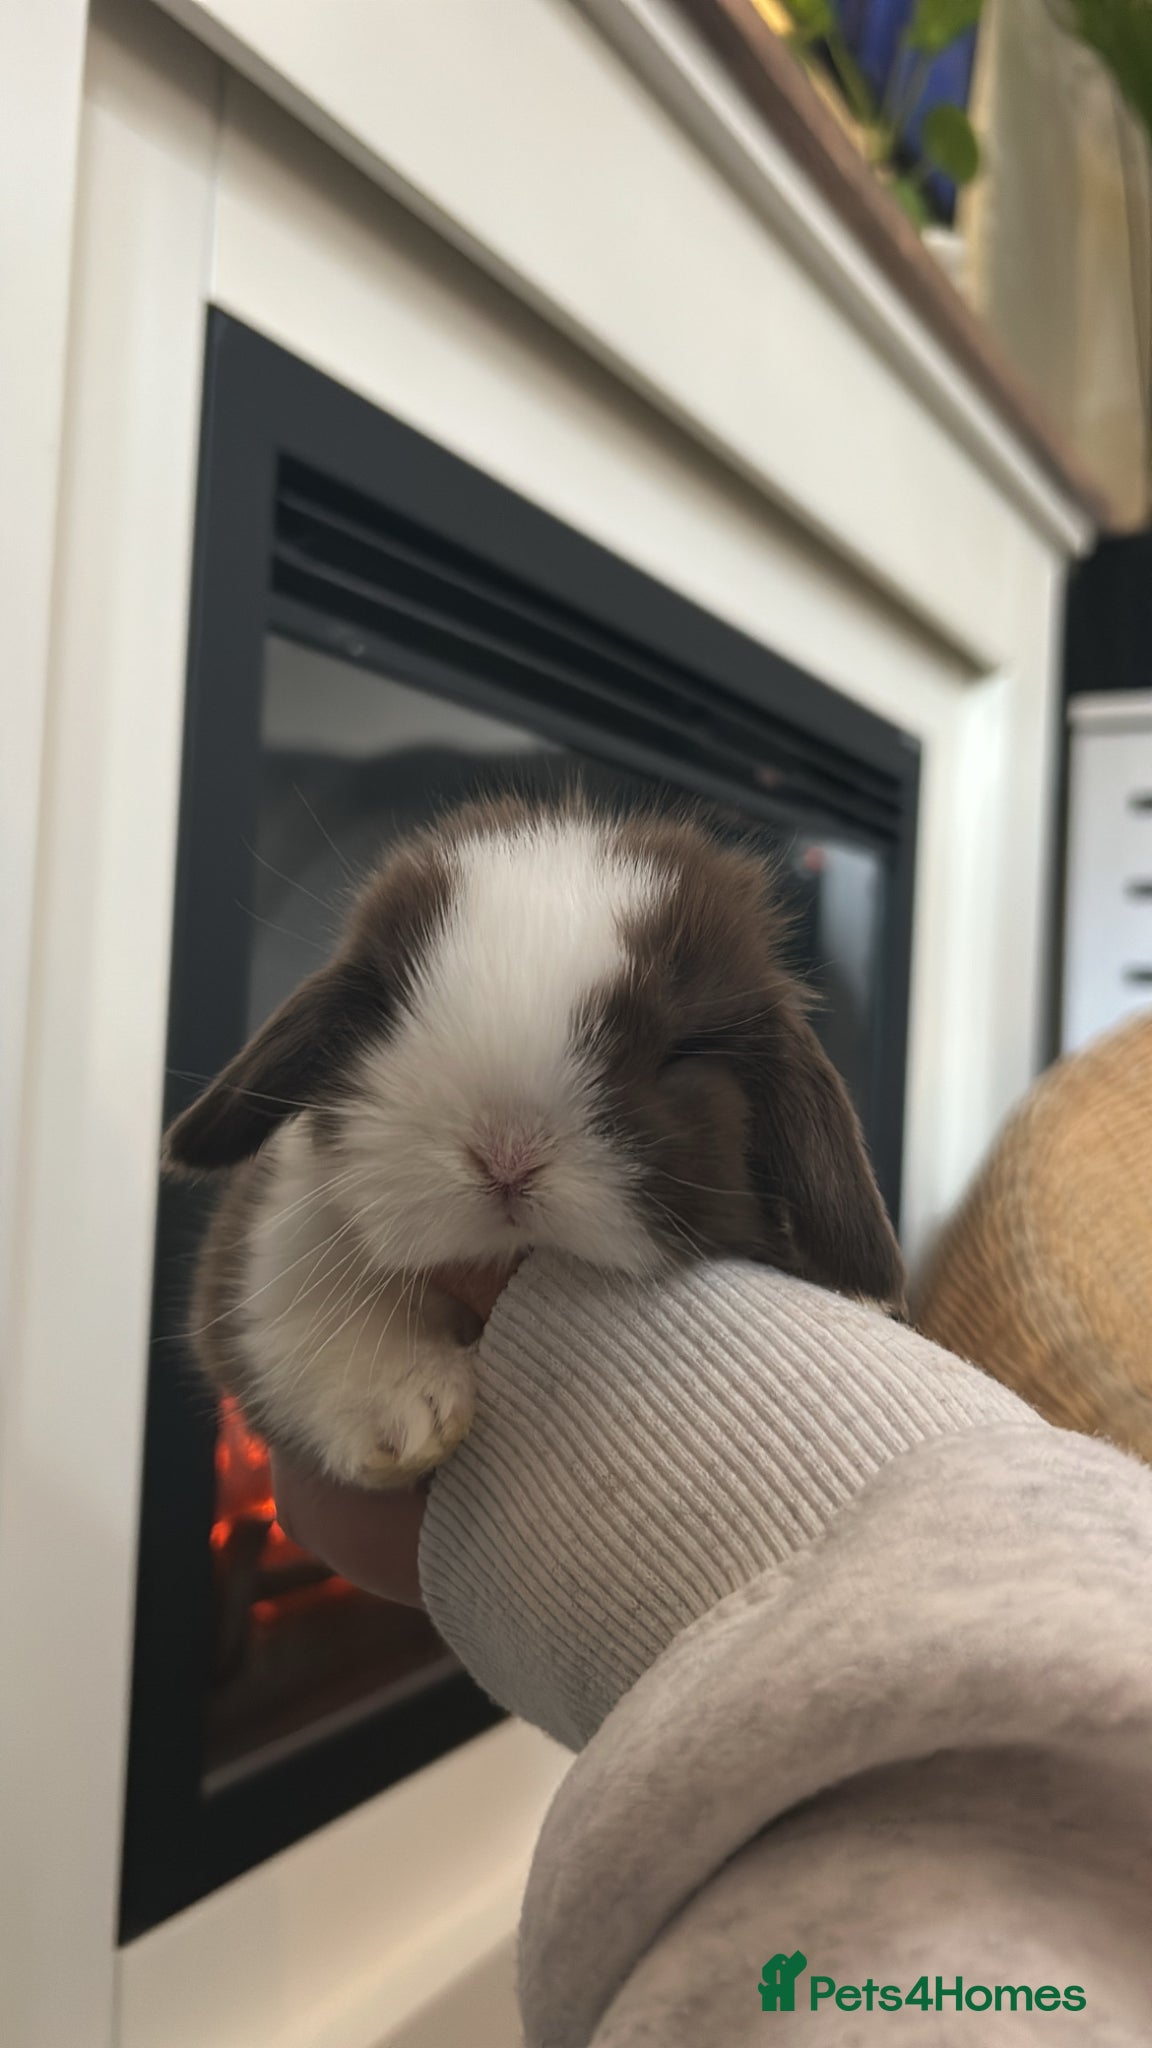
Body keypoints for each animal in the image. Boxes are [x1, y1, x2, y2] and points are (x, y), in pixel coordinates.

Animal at [165, 793, 906, 1488]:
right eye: (389, 1011)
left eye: (683, 1049)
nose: (507, 1157)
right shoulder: (277, 1242)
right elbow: (308, 1325)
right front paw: (407, 1415)